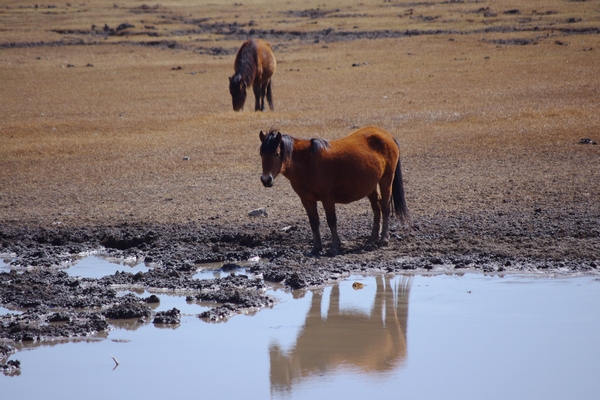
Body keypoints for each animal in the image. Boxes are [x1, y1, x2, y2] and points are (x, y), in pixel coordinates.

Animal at [260, 126, 410, 255]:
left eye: (276, 154)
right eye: (261, 154)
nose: (266, 180)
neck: (307, 163)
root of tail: (387, 135)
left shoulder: (327, 198)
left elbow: (331, 220)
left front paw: (334, 247)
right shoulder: (307, 200)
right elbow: (314, 222)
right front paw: (316, 248)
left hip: (386, 180)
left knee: (385, 207)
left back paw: (383, 239)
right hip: (371, 186)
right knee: (376, 209)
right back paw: (371, 240)